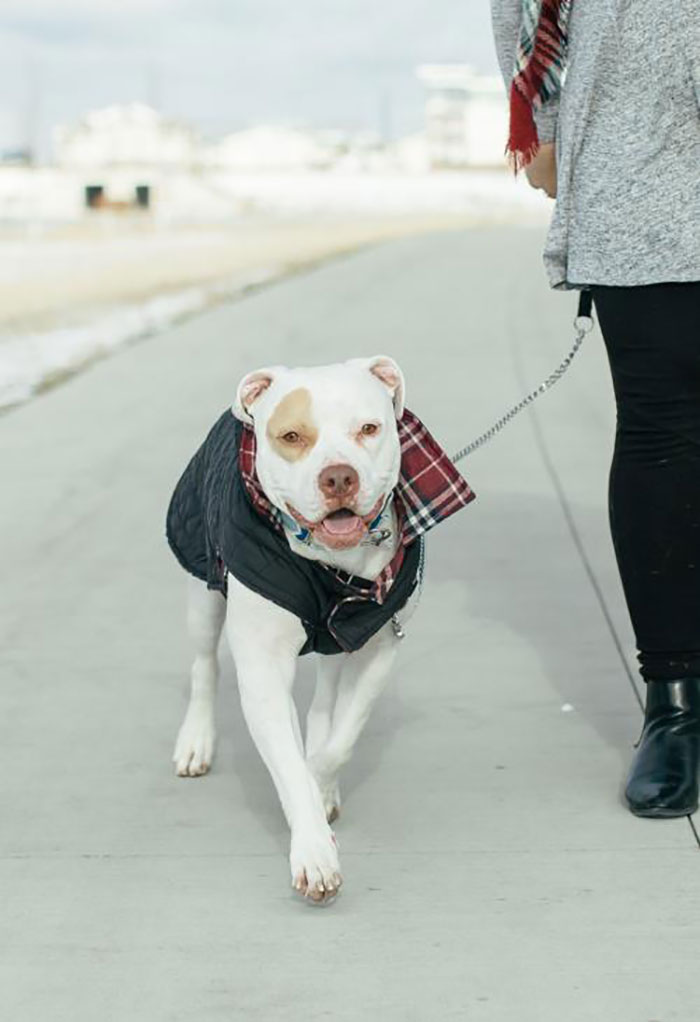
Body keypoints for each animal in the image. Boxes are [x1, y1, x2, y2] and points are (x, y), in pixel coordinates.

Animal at [166, 357, 472, 903]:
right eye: (292, 436)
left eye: (369, 428)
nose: (338, 477)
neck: (332, 567)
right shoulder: (264, 668)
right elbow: (287, 760)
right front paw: (313, 852)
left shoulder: (377, 647)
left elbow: (337, 742)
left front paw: (317, 788)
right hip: (202, 585)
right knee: (204, 665)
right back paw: (196, 741)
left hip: (339, 643)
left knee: (325, 704)